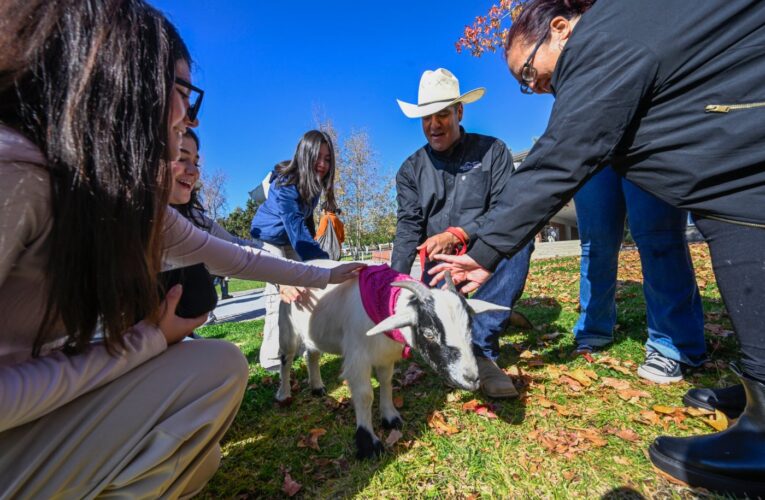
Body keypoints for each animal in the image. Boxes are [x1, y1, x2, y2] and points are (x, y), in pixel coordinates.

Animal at [274, 264, 508, 458]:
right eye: (429, 333)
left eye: (470, 327)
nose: (472, 379)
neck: (384, 300)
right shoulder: (357, 357)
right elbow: (365, 395)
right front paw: (368, 443)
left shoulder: (384, 354)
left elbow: (386, 383)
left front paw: (390, 418)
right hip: (287, 327)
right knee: (286, 359)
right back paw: (284, 394)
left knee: (311, 354)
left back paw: (317, 387)